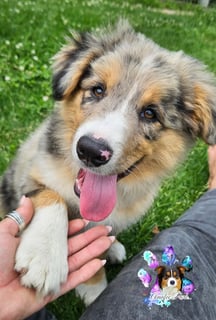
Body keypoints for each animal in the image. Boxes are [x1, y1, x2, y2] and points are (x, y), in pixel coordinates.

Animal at [0, 20, 216, 304]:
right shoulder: (30, 168)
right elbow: (51, 195)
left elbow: (98, 251)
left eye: (150, 113)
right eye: (97, 89)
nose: (91, 151)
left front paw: (95, 288)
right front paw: (44, 258)